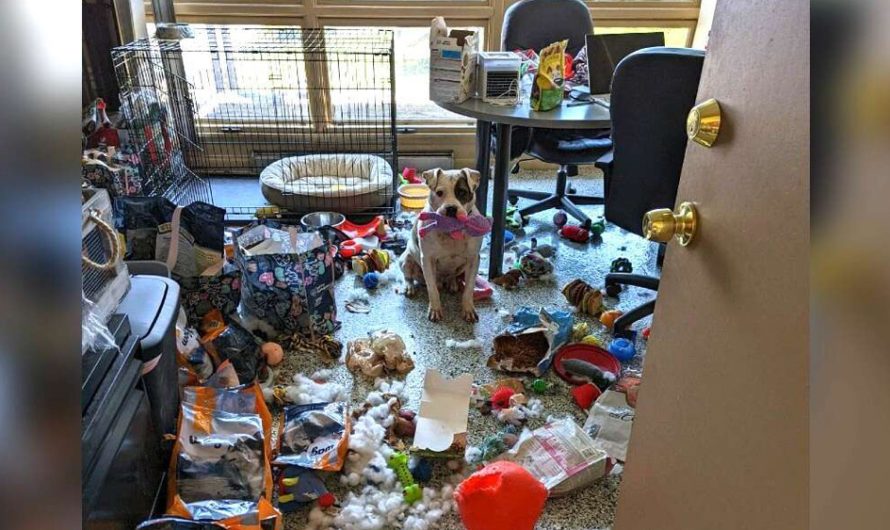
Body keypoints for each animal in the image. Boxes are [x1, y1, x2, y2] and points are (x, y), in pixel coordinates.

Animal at [398, 167, 482, 322]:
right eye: (439, 193)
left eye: (462, 192)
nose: (451, 208)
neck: (451, 231)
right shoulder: (428, 260)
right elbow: (432, 290)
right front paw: (435, 309)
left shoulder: (473, 260)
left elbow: (469, 289)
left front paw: (468, 309)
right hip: (406, 259)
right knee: (409, 276)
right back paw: (409, 287)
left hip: (462, 267)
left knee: (452, 275)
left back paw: (452, 283)